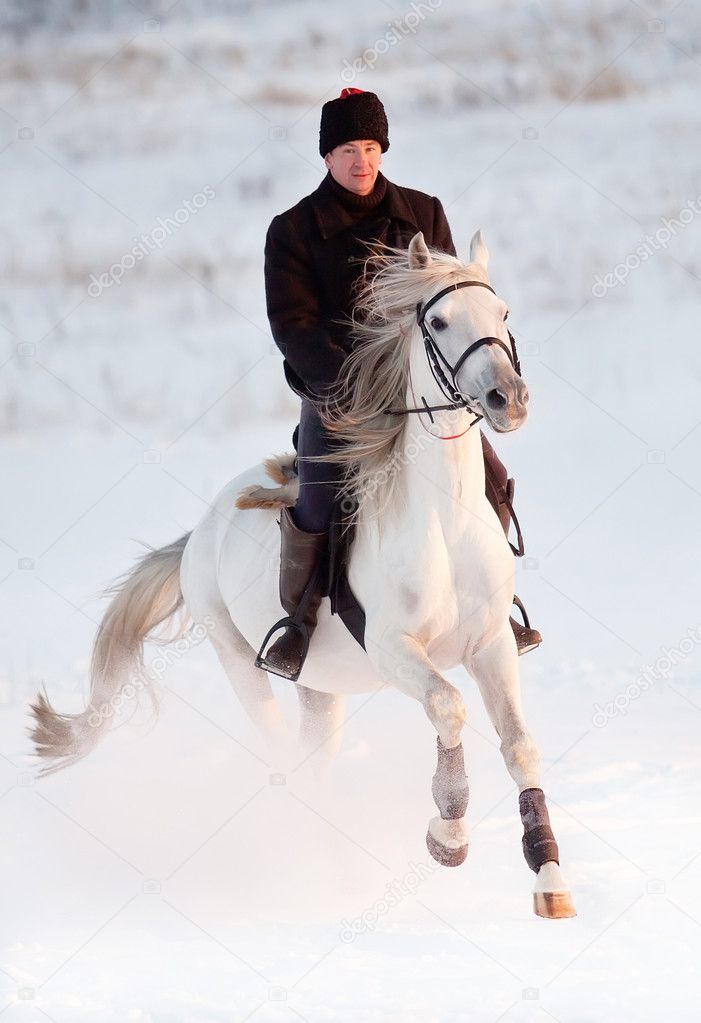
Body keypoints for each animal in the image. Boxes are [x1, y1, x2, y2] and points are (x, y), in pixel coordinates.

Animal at [28, 229, 576, 919]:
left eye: (502, 313)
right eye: (439, 321)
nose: (510, 399)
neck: (443, 519)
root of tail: (201, 531)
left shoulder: (492, 645)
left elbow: (520, 745)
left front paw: (549, 878)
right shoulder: (395, 649)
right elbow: (448, 707)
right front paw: (446, 835)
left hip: (321, 689)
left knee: (314, 768)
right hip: (239, 660)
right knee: (285, 764)